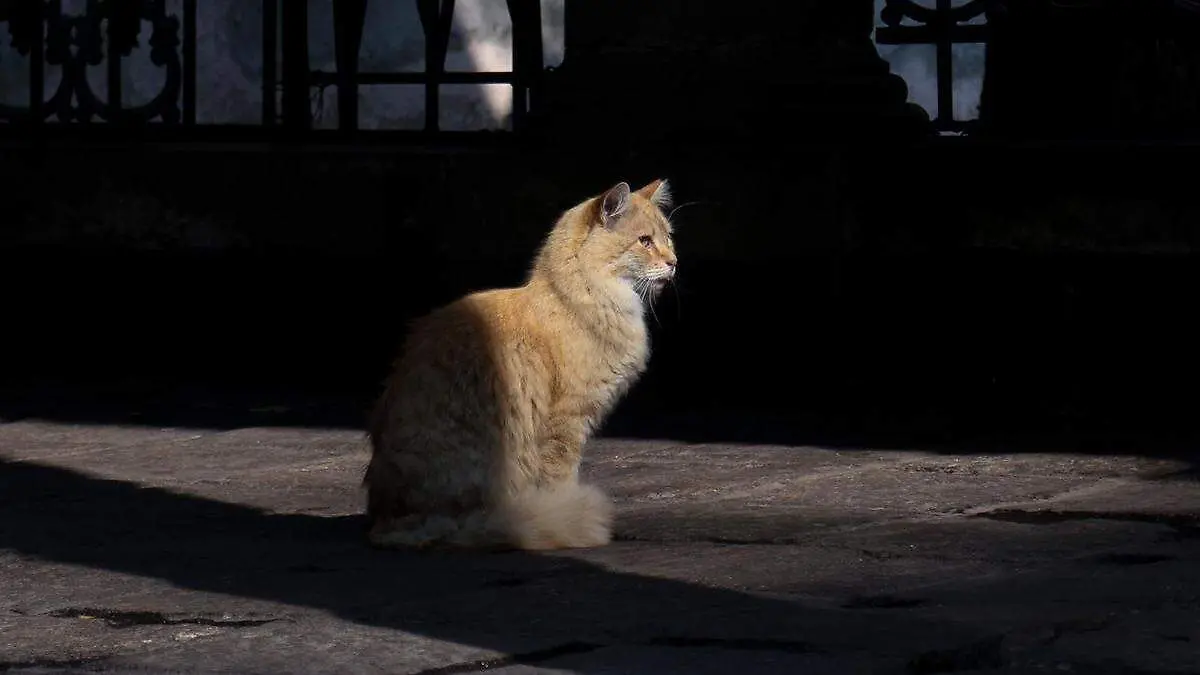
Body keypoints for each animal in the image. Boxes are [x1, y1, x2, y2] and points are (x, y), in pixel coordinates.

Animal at [360, 177, 681, 547]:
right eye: (645, 241)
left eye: (668, 238)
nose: (674, 262)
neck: (575, 300)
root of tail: (386, 520)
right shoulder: (567, 424)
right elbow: (560, 481)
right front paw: (568, 510)